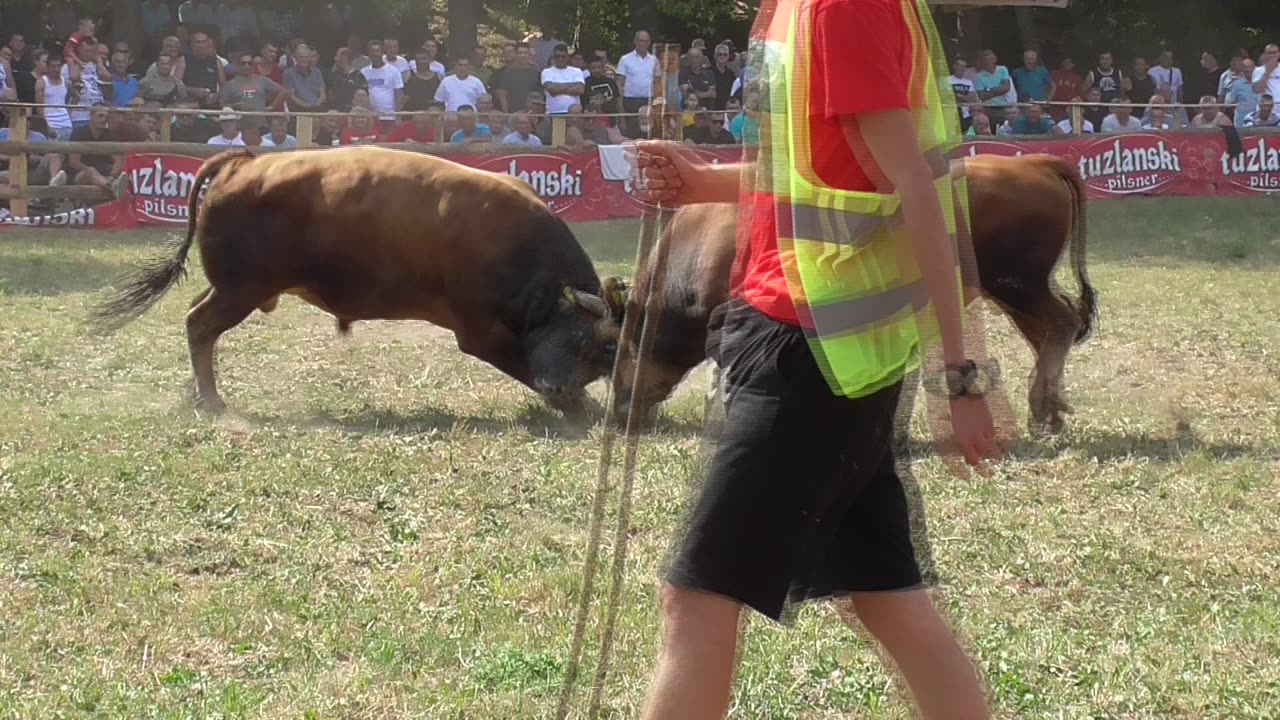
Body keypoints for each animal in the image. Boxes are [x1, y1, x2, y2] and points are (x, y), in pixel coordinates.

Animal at [91, 146, 619, 412]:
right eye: (582, 341)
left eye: (602, 355)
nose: (560, 390)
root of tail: (243, 163)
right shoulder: (479, 333)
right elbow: (520, 361)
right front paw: (580, 408)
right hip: (240, 290)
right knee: (199, 324)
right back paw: (213, 401)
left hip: (233, 288)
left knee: (197, 320)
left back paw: (196, 393)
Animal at [609, 152, 1100, 430]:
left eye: (619, 345)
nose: (620, 411)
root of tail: (1032, 163)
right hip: (1014, 290)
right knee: (1048, 332)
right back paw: (1049, 408)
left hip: (1017, 283)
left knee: (1061, 323)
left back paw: (1043, 405)